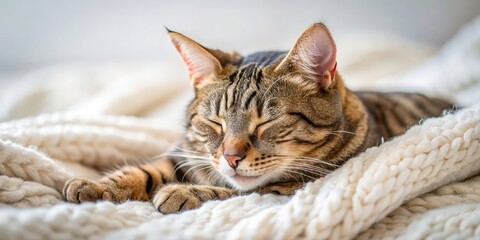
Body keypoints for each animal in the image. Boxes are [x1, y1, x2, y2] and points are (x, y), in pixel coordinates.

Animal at [62, 23, 450, 214]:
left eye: (265, 123)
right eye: (215, 123)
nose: (231, 157)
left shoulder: (291, 187)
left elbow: (234, 191)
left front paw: (182, 192)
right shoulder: (185, 153)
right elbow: (146, 171)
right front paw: (95, 184)